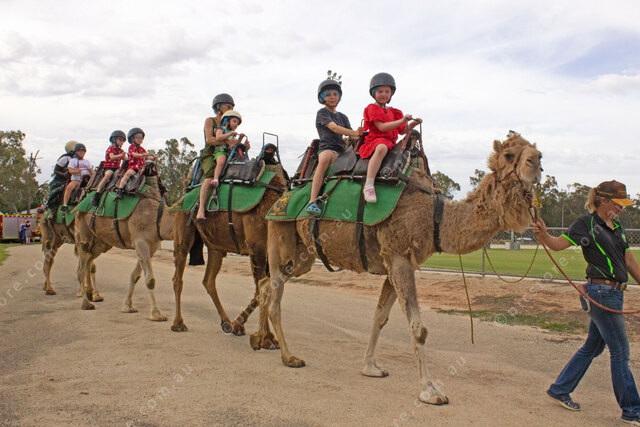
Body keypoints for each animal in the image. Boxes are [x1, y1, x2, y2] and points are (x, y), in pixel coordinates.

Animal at [74, 163, 175, 320]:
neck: (158, 217)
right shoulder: (140, 241)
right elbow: (150, 280)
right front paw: (157, 313)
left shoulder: (152, 246)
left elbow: (135, 275)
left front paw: (128, 306)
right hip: (83, 232)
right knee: (81, 268)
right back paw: (86, 303)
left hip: (101, 242)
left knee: (90, 261)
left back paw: (92, 294)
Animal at [171, 160, 286, 349]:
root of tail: (183, 193)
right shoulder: (257, 248)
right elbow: (261, 290)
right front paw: (266, 339)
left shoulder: (271, 256)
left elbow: (264, 289)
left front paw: (242, 328)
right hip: (183, 230)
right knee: (178, 277)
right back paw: (178, 323)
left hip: (215, 246)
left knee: (208, 280)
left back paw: (226, 323)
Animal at [251, 133, 542, 404]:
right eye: (509, 155)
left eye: (535, 151)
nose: (537, 162)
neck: (435, 216)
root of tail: (285, 195)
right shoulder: (398, 256)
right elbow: (419, 328)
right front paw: (430, 391)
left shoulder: (395, 259)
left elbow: (380, 316)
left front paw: (371, 367)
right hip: (280, 232)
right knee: (274, 292)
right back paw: (288, 356)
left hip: (304, 255)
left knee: (267, 284)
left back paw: (261, 340)